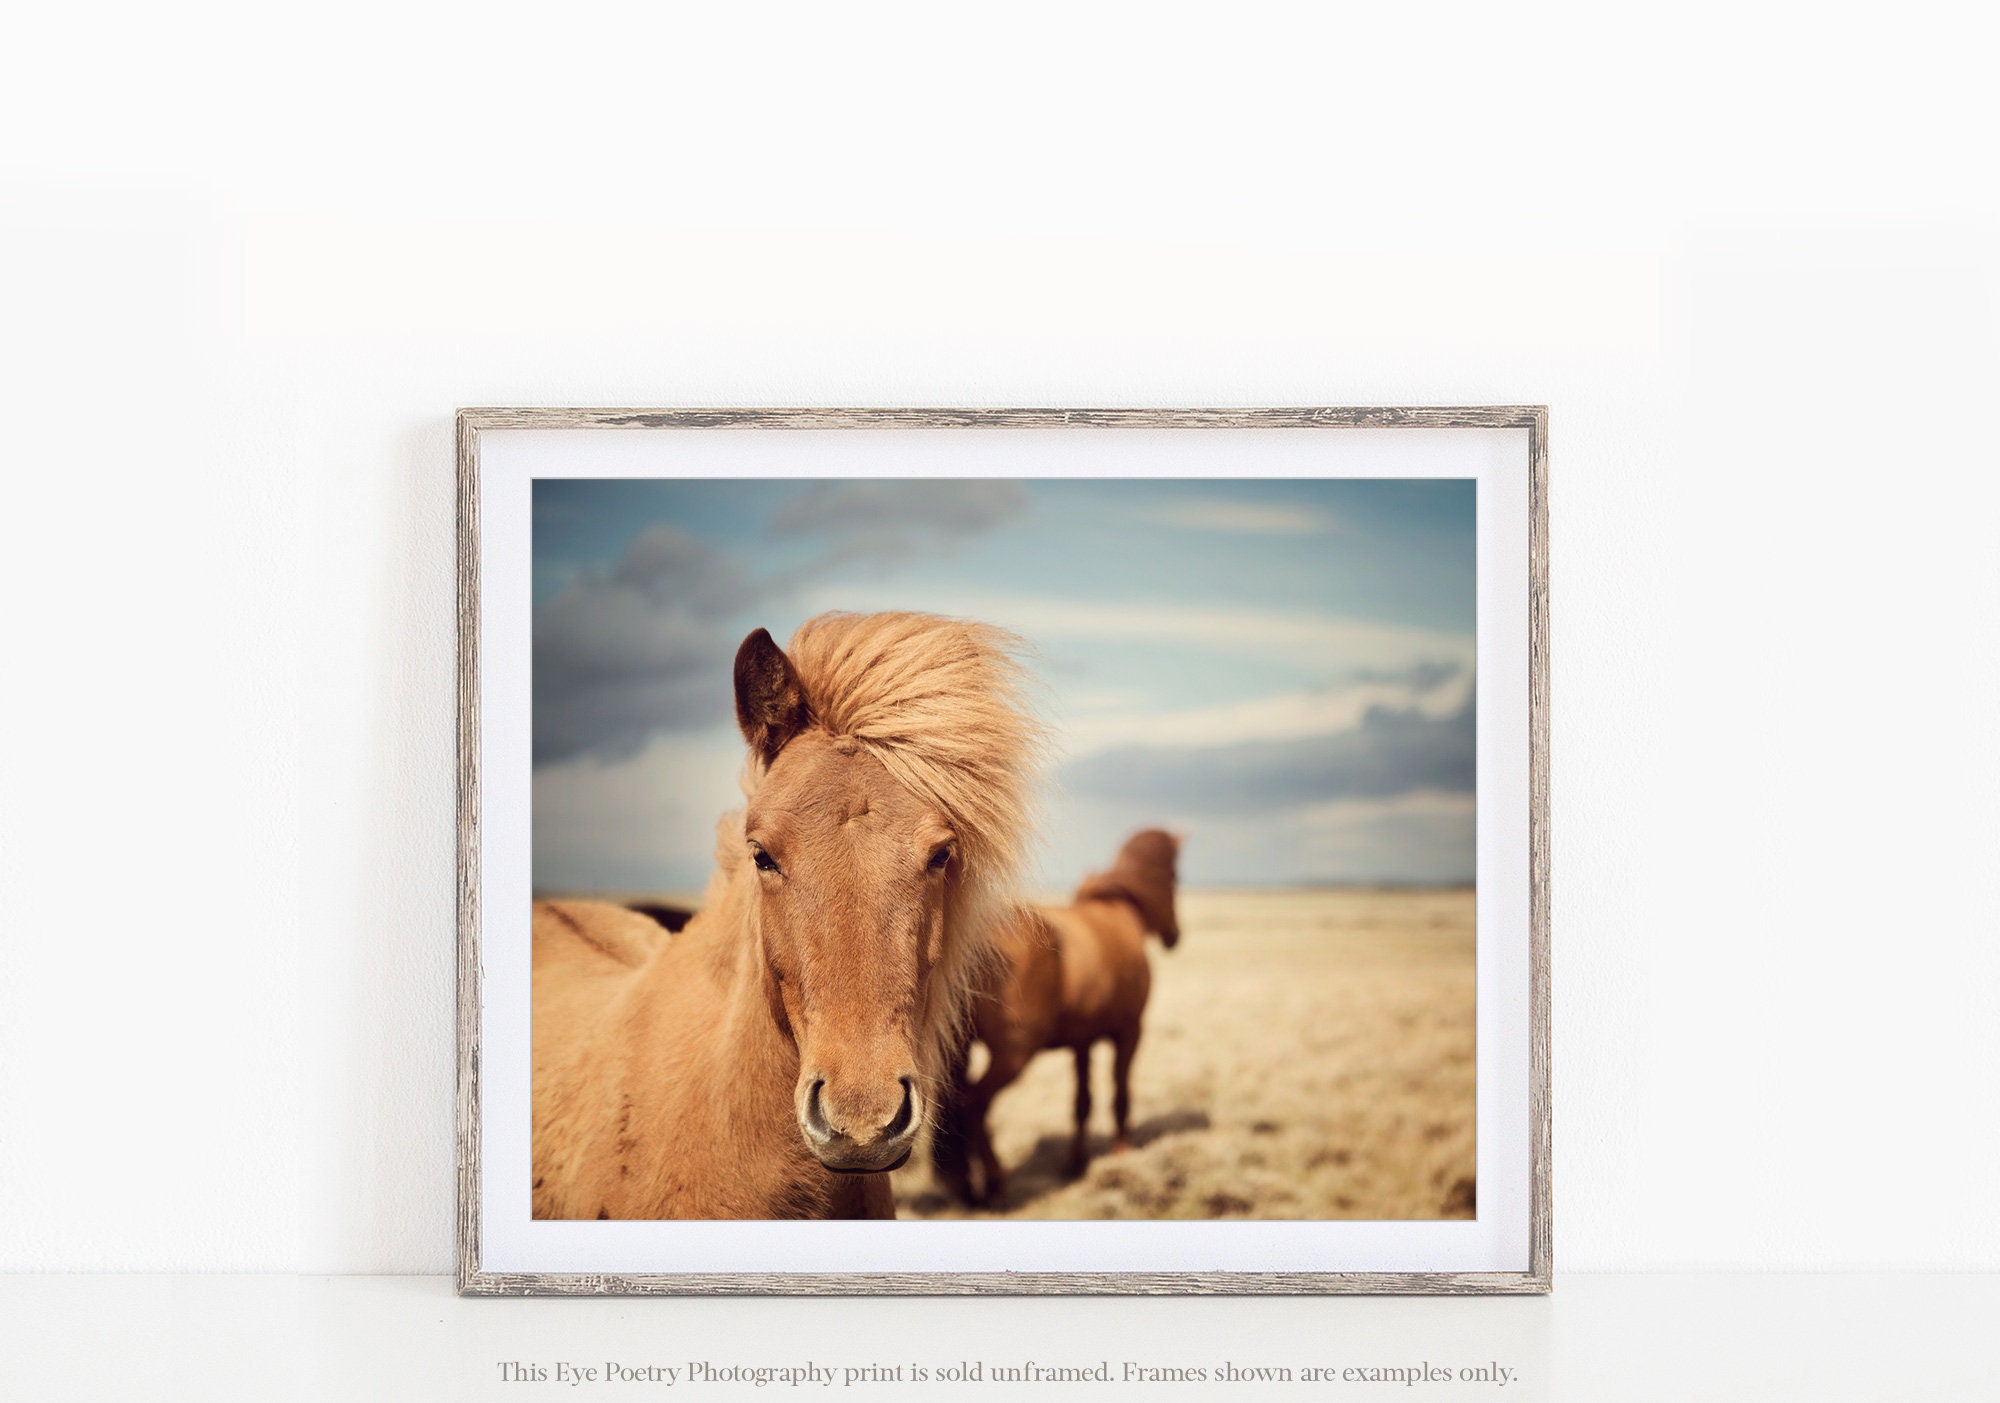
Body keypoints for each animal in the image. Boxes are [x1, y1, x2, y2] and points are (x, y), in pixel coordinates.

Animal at [933, 829, 1182, 1207]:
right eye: (1173, 878)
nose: (1174, 937)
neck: (1115, 915)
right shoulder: (1130, 1033)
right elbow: (1120, 1096)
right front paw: (1121, 1154)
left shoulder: (1082, 1042)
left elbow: (1082, 1102)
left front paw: (1075, 1162)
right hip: (1013, 1055)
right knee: (973, 1106)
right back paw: (996, 1183)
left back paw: (967, 1186)